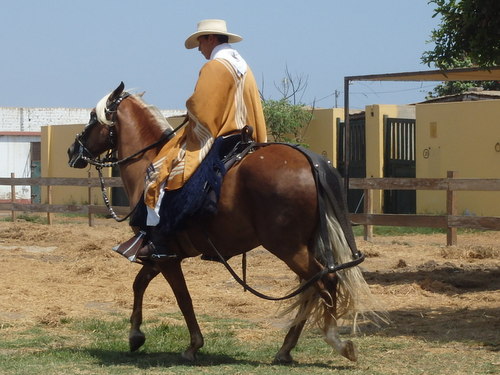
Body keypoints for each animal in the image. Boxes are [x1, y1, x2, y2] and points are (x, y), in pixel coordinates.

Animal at [65, 82, 378, 364]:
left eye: (92, 118)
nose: (72, 151)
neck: (151, 163)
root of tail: (310, 162)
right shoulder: (159, 255)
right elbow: (139, 284)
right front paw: (135, 335)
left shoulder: (165, 255)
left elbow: (182, 298)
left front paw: (193, 344)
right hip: (304, 247)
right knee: (313, 287)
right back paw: (286, 349)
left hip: (289, 248)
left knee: (326, 281)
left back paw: (335, 341)